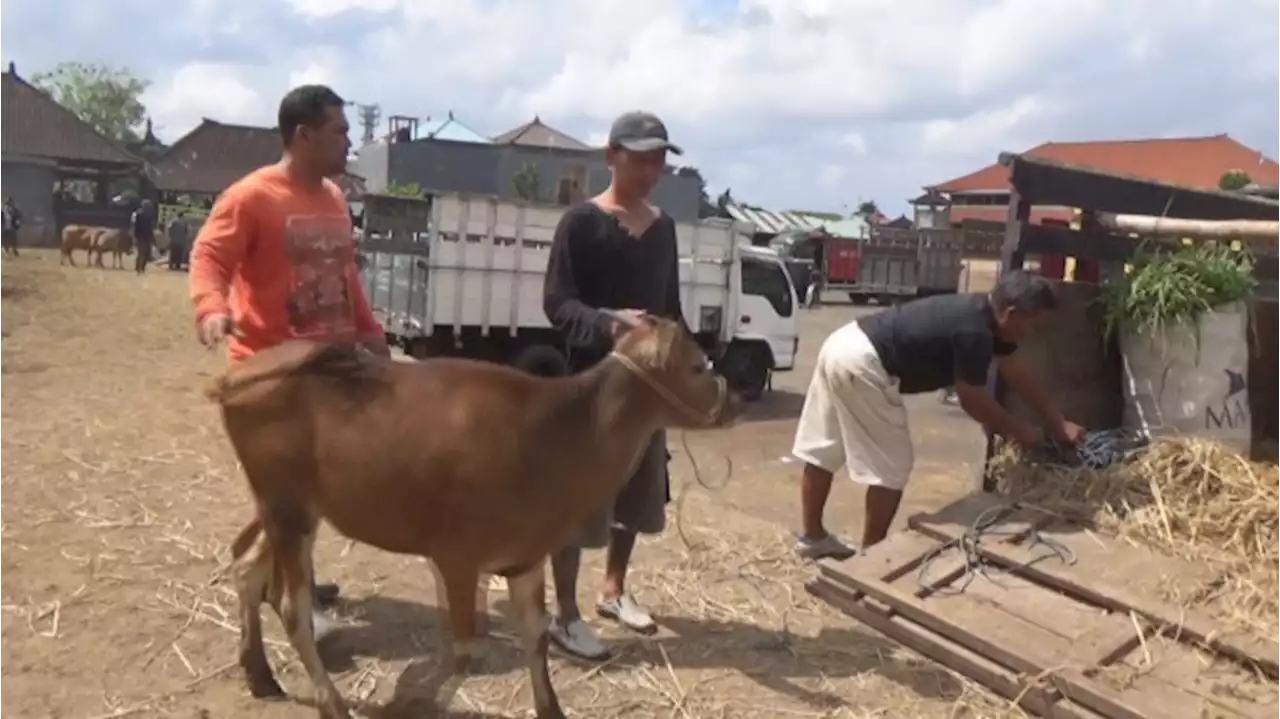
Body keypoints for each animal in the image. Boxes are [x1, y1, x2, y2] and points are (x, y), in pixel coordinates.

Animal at [209, 314, 742, 716]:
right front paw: (411, 703)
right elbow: (465, 651)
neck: (558, 435)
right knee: (290, 606)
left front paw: (551, 708)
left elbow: (535, 636)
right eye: (698, 365)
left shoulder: (525, 557)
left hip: (285, 509)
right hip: (289, 512)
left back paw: (260, 674)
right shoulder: (457, 559)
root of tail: (235, 379)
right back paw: (330, 702)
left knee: (247, 569)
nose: (733, 401)